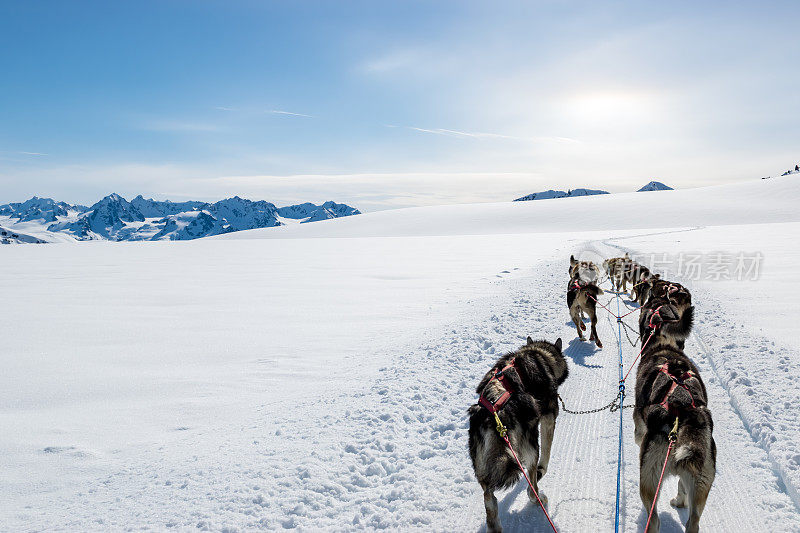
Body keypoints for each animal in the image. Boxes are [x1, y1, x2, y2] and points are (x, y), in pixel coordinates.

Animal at [466, 336, 564, 532]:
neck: (540, 353)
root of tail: (494, 415)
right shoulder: (549, 418)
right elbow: (546, 457)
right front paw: (542, 471)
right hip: (531, 447)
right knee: (531, 487)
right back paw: (538, 496)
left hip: (482, 470)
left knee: (489, 499)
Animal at [636, 338, 716, 528]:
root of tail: (685, 413)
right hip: (700, 480)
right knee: (693, 521)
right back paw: (681, 504)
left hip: (649, 480)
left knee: (653, 519)